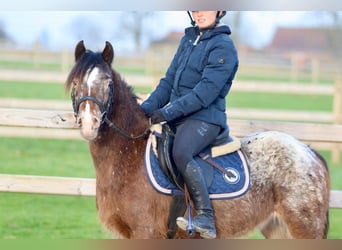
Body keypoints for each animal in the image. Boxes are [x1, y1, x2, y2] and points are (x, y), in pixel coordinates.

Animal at [65, 41, 330, 240]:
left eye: (108, 83)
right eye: (76, 83)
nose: (89, 124)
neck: (129, 155)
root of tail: (309, 152)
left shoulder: (145, 231)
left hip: (304, 228)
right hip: (277, 228)